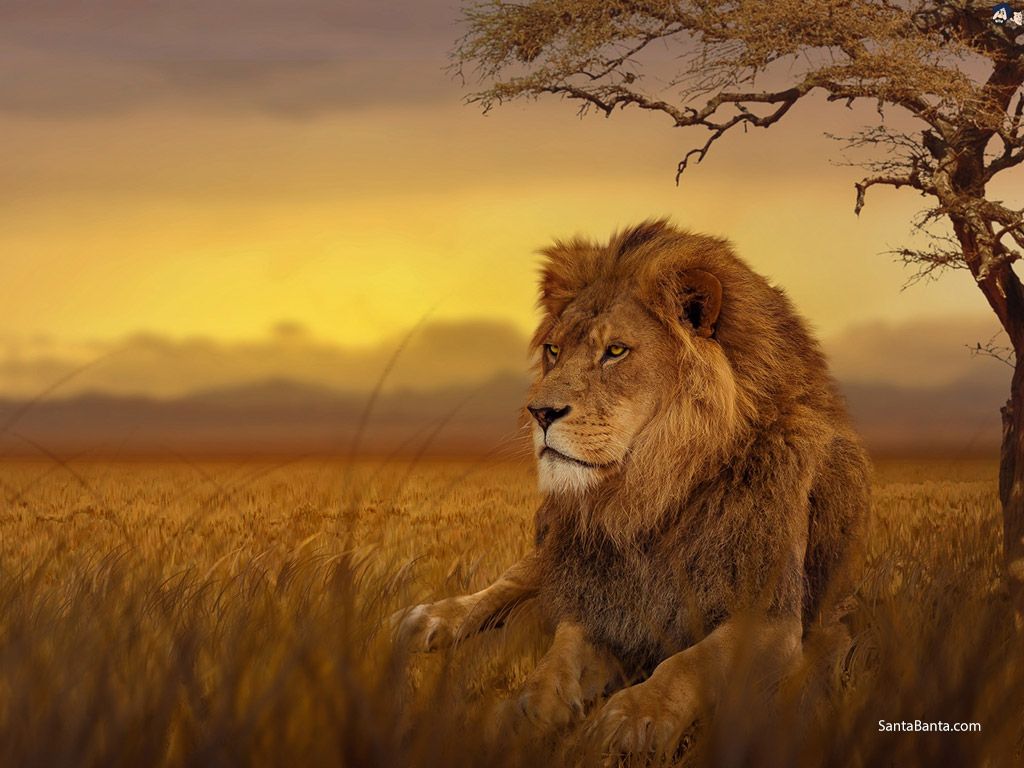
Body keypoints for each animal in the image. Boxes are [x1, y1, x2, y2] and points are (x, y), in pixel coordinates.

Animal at [394, 219, 870, 755]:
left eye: (615, 351)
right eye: (554, 350)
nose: (539, 412)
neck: (650, 496)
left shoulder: (772, 616)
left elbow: (689, 662)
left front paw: (634, 717)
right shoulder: (600, 596)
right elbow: (557, 658)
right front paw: (526, 711)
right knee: (513, 581)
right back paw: (431, 620)